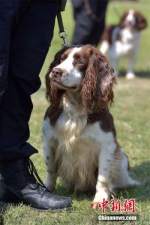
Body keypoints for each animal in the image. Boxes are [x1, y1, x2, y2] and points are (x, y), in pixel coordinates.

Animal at [41, 45, 139, 209]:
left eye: (79, 62)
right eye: (62, 59)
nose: (55, 71)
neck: (76, 106)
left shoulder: (107, 146)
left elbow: (103, 177)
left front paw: (100, 200)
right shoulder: (49, 141)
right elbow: (50, 169)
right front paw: (46, 190)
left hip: (122, 159)